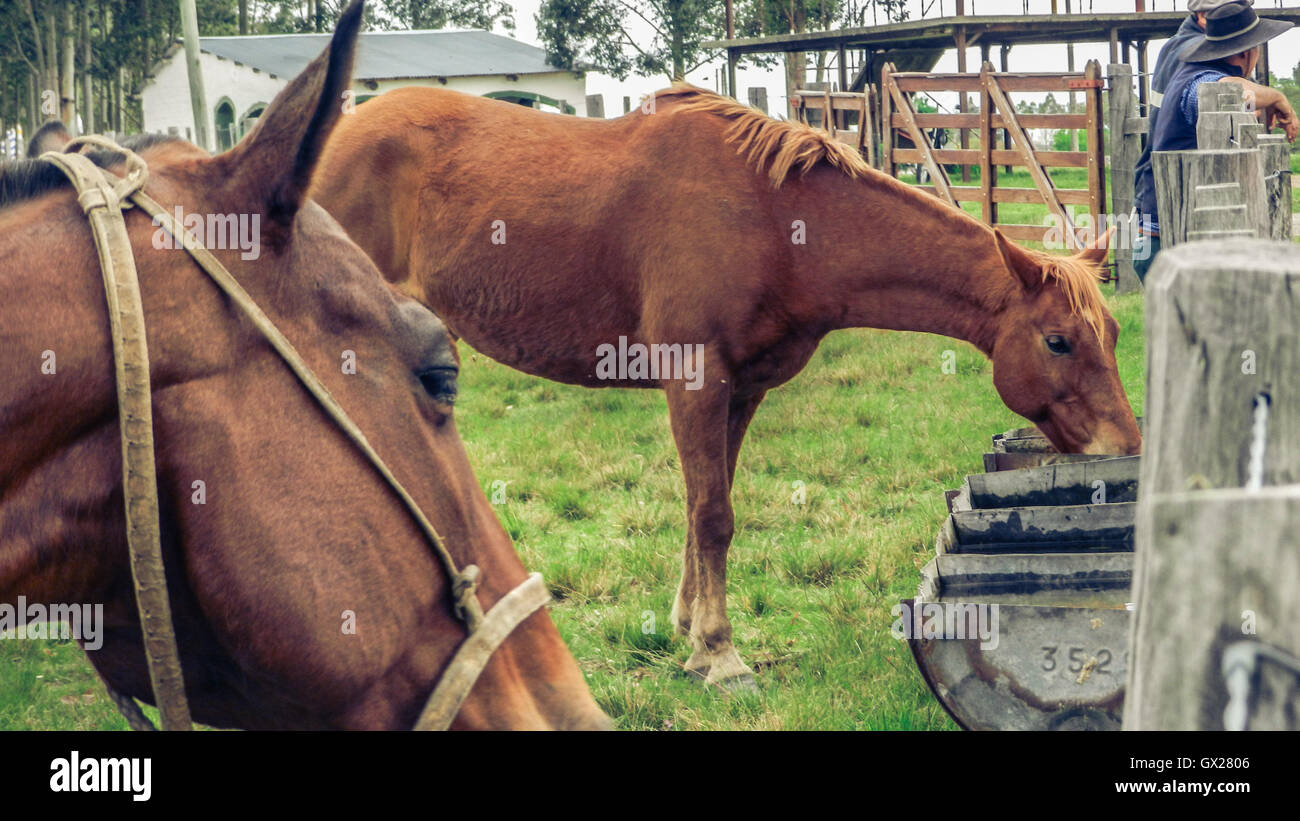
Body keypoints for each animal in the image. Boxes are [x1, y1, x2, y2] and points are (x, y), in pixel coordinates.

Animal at [311, 84, 1142, 689]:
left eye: (1112, 334)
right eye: (1059, 340)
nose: (1125, 447)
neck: (777, 224)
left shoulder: (741, 391)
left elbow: (701, 507)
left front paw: (686, 625)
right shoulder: (697, 379)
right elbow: (714, 514)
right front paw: (719, 651)